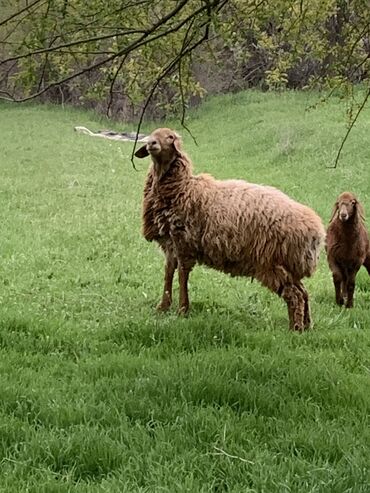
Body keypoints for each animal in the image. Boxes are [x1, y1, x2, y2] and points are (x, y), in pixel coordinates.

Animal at [135, 127, 324, 330]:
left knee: (294, 295)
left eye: (170, 137)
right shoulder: (170, 244)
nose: (152, 143)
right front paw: (163, 307)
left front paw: (182, 310)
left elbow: (182, 275)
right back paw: (307, 326)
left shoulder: (184, 242)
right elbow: (168, 273)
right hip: (288, 263)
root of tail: (316, 232)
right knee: (303, 292)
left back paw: (295, 329)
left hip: (271, 261)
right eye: (153, 134)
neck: (183, 188)